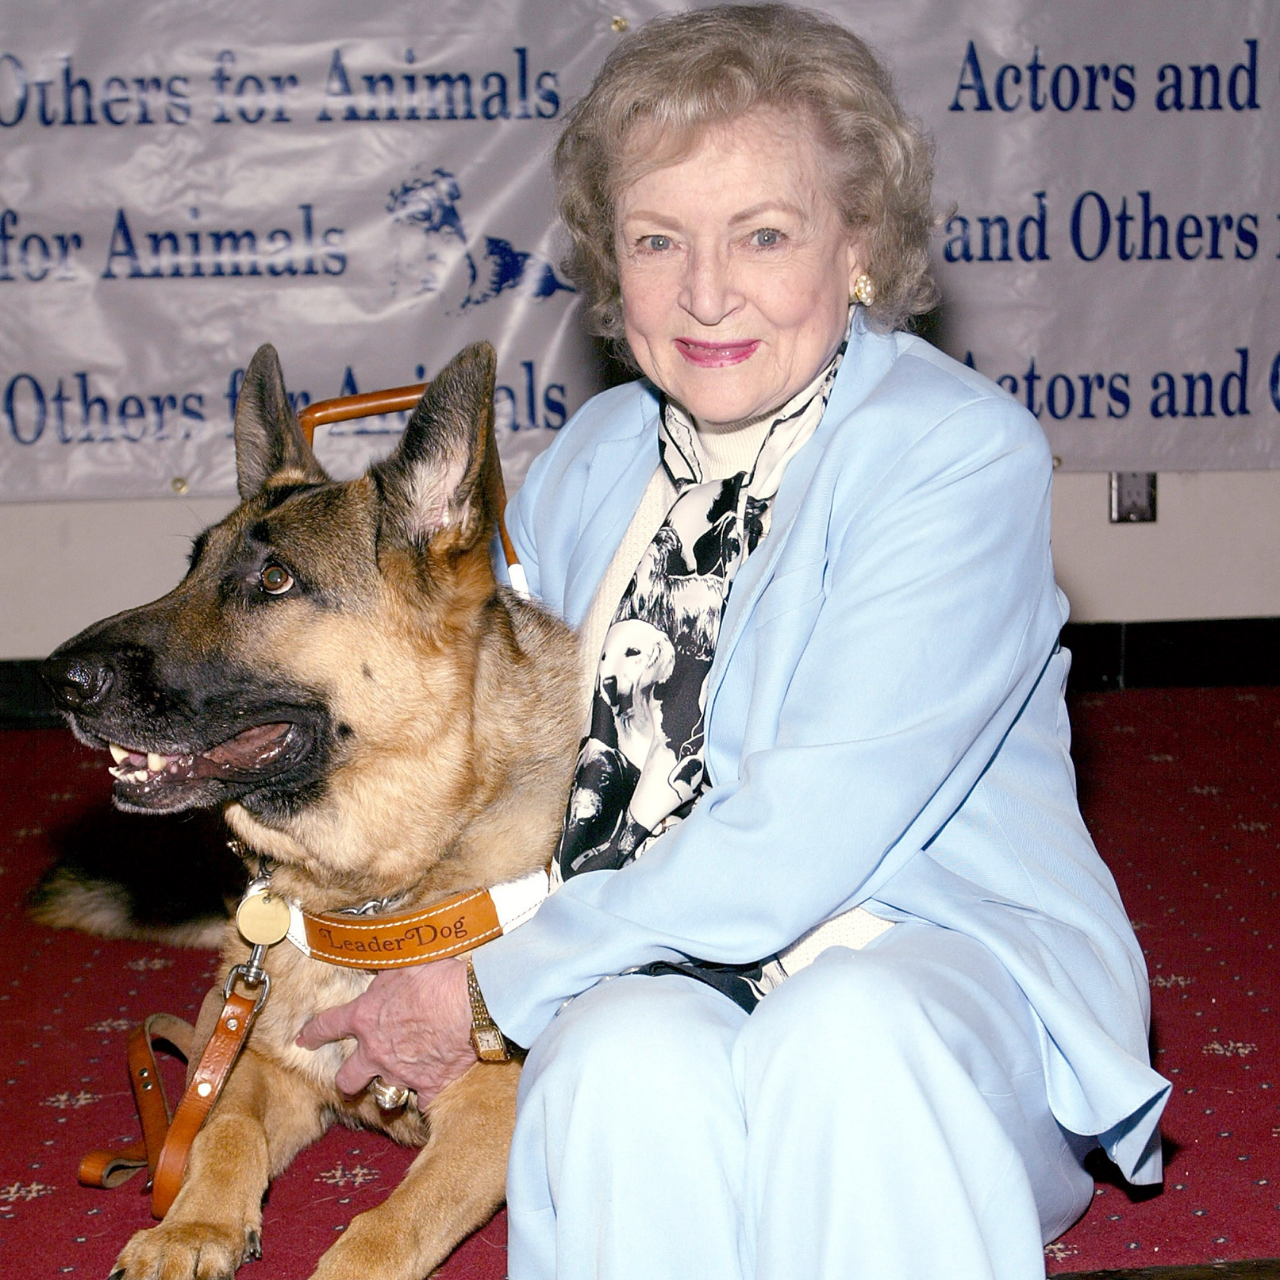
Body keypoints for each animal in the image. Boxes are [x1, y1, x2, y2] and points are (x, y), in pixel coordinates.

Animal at [40, 340, 581, 1280]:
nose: (58, 680)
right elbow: (223, 1137)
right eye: (191, 564)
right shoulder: (253, 1061)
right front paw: (190, 1227)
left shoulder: (491, 1109)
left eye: (274, 579)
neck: (374, 896)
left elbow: (386, 1226)